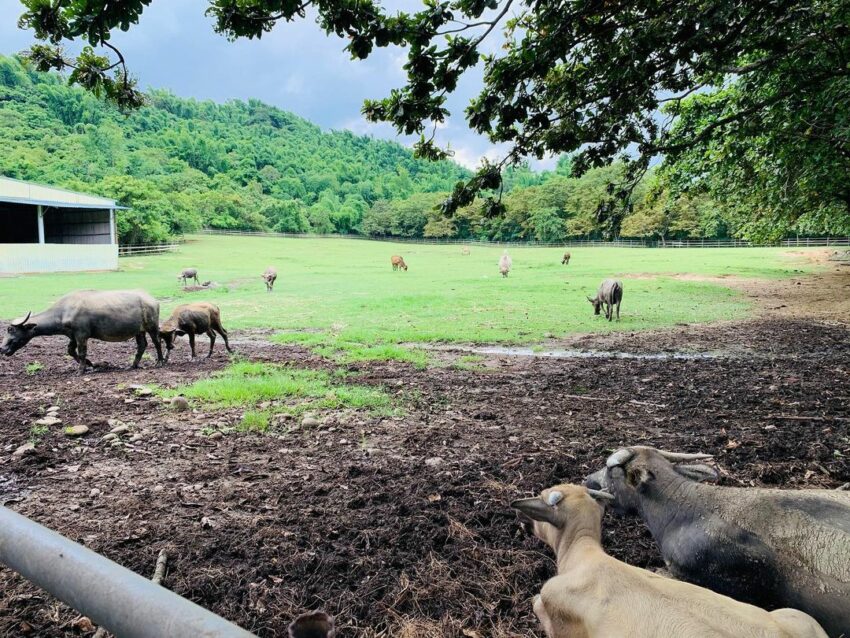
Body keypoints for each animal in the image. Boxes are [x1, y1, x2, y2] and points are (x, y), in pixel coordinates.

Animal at [0, 292, 164, 376]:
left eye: (11, 330)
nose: (2, 348)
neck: (63, 312)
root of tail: (152, 300)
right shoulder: (72, 336)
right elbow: (70, 351)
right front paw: (92, 364)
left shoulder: (81, 335)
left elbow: (81, 352)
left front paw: (81, 370)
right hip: (139, 330)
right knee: (142, 345)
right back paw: (133, 365)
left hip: (152, 326)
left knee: (156, 342)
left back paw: (160, 362)